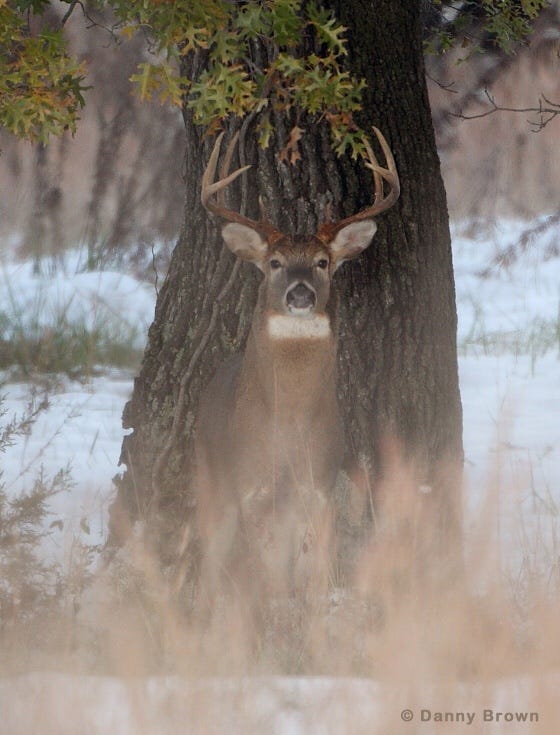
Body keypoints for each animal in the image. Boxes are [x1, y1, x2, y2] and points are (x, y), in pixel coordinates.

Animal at [194, 127, 400, 608]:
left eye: (323, 262)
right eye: (274, 263)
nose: (301, 293)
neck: (287, 424)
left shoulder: (319, 484)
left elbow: (313, 577)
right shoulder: (249, 487)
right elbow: (261, 577)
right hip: (209, 485)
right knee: (207, 569)